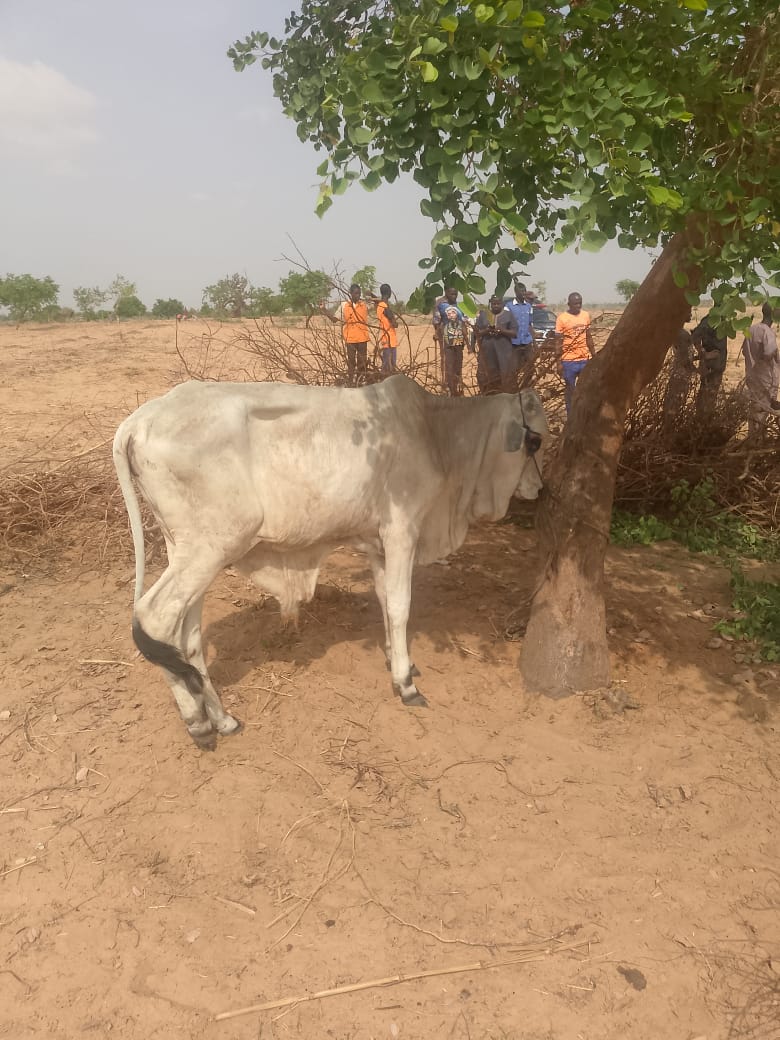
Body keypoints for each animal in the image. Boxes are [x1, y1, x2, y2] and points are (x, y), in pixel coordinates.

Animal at [113, 375, 548, 749]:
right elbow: (401, 607)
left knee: (185, 636)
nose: (540, 489)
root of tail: (139, 419)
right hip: (211, 548)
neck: (433, 431)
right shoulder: (402, 531)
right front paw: (406, 683)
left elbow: (384, 602)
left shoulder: (378, 544)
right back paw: (198, 723)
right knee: (154, 619)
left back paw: (221, 720)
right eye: (536, 442)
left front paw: (397, 659)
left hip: (186, 552)